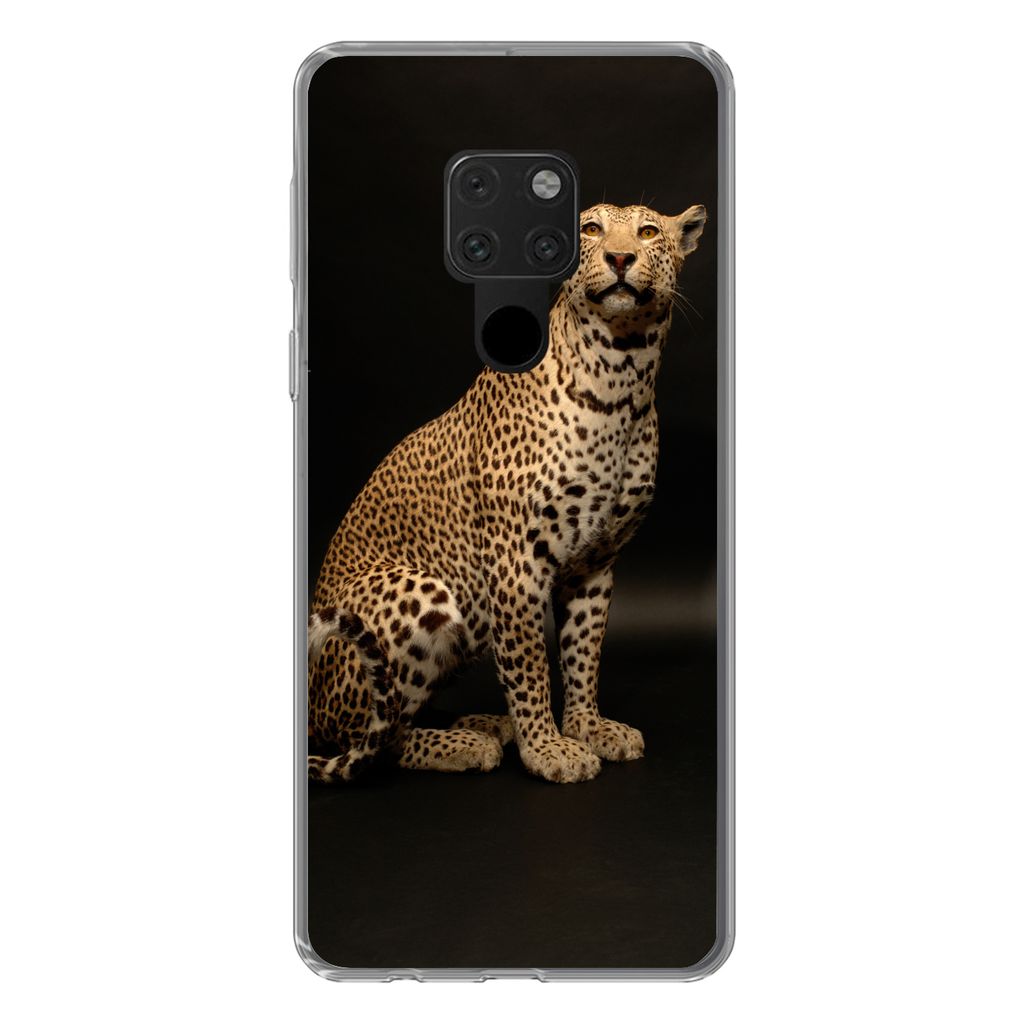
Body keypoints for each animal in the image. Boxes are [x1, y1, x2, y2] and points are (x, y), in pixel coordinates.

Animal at [307, 201, 707, 784]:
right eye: (591, 230)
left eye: (649, 231)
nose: (620, 257)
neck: (623, 375)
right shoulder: (516, 562)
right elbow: (529, 666)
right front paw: (547, 749)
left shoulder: (596, 563)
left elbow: (582, 654)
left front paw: (587, 727)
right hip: (418, 593)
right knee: (375, 737)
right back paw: (466, 743)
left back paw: (483, 723)